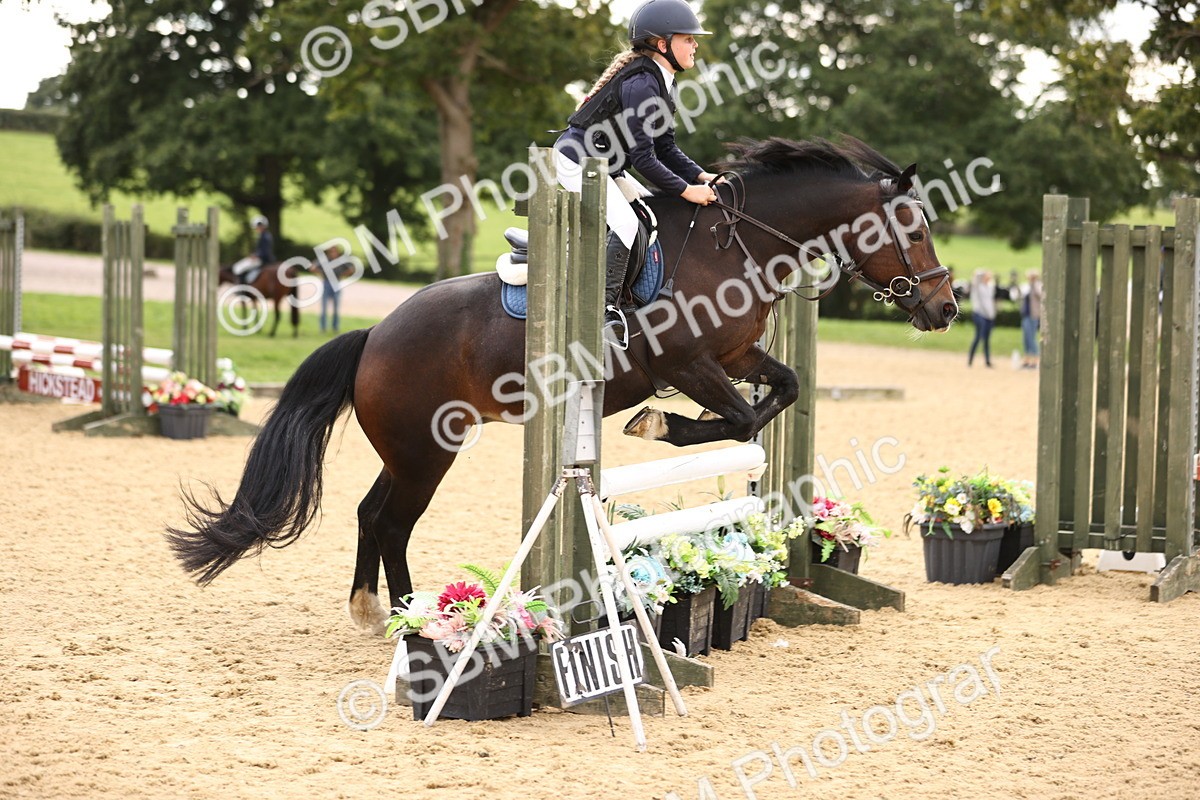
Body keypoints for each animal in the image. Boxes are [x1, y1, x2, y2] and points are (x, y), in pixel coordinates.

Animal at [168, 137, 959, 633]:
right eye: (915, 230)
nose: (945, 308)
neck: (738, 243)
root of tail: (374, 336)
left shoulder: (737, 356)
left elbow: (781, 393)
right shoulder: (688, 366)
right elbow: (736, 421)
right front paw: (659, 426)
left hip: (413, 450)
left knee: (371, 513)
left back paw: (378, 612)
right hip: (427, 451)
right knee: (391, 521)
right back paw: (414, 618)